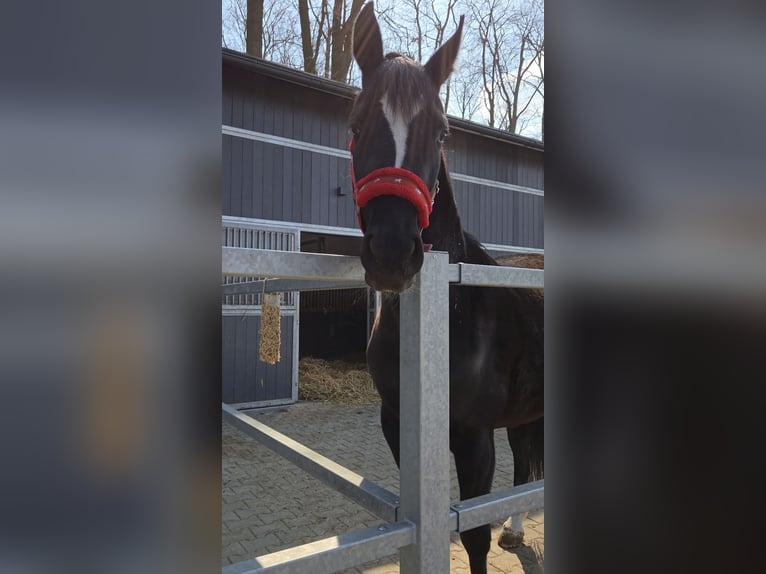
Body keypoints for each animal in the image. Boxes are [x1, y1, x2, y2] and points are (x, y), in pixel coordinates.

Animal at [349, 4, 544, 573]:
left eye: (441, 132)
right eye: (356, 122)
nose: (394, 253)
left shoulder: (474, 436)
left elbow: (474, 535)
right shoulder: (397, 425)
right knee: (527, 458)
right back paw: (516, 529)